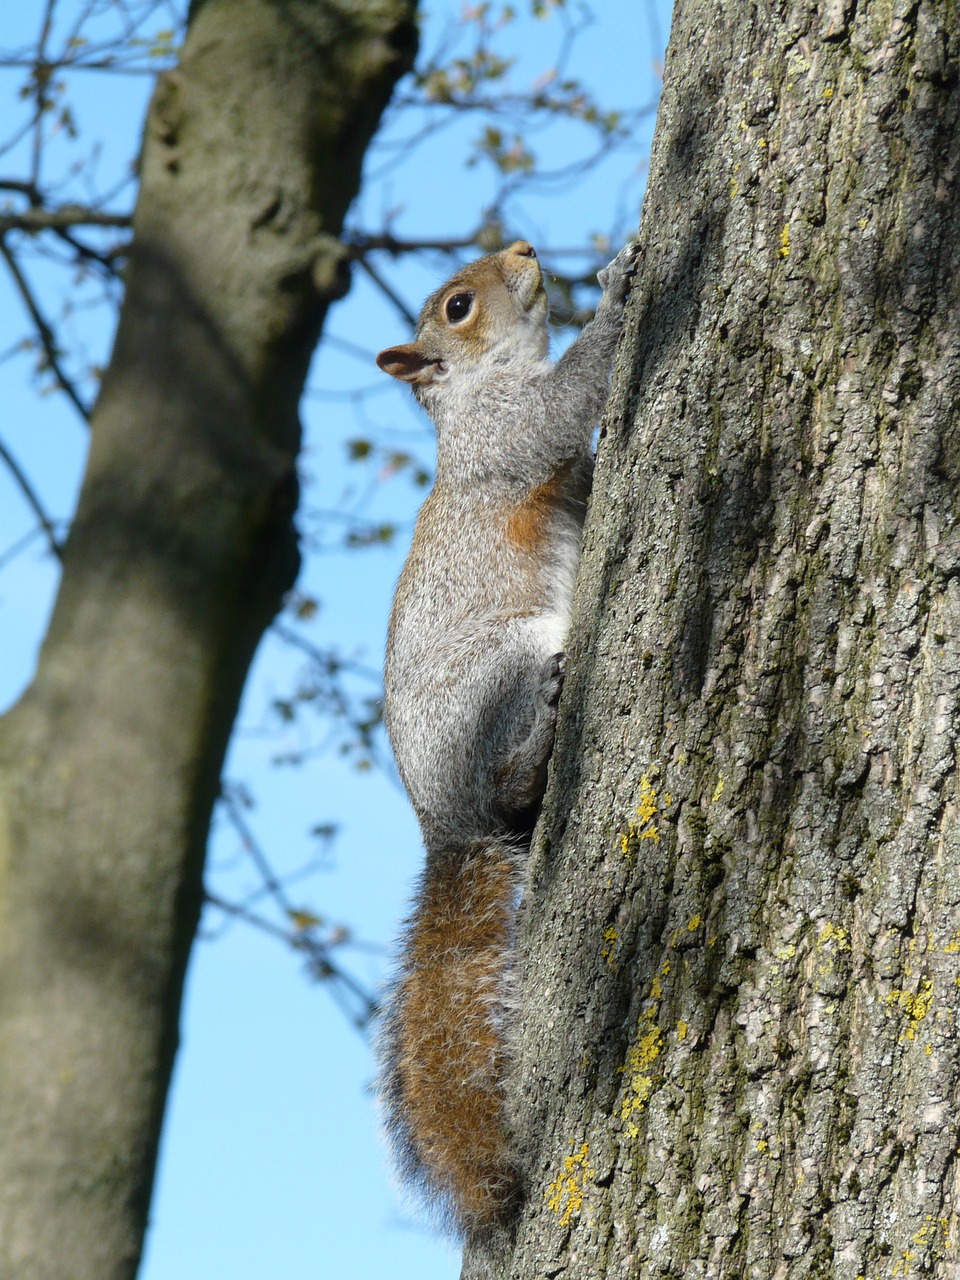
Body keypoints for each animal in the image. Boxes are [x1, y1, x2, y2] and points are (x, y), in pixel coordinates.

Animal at [376, 235, 640, 1233]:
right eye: (456, 306)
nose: (526, 247)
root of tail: (447, 825)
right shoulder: (506, 434)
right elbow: (567, 402)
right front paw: (619, 290)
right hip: (505, 670)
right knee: (510, 772)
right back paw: (538, 747)